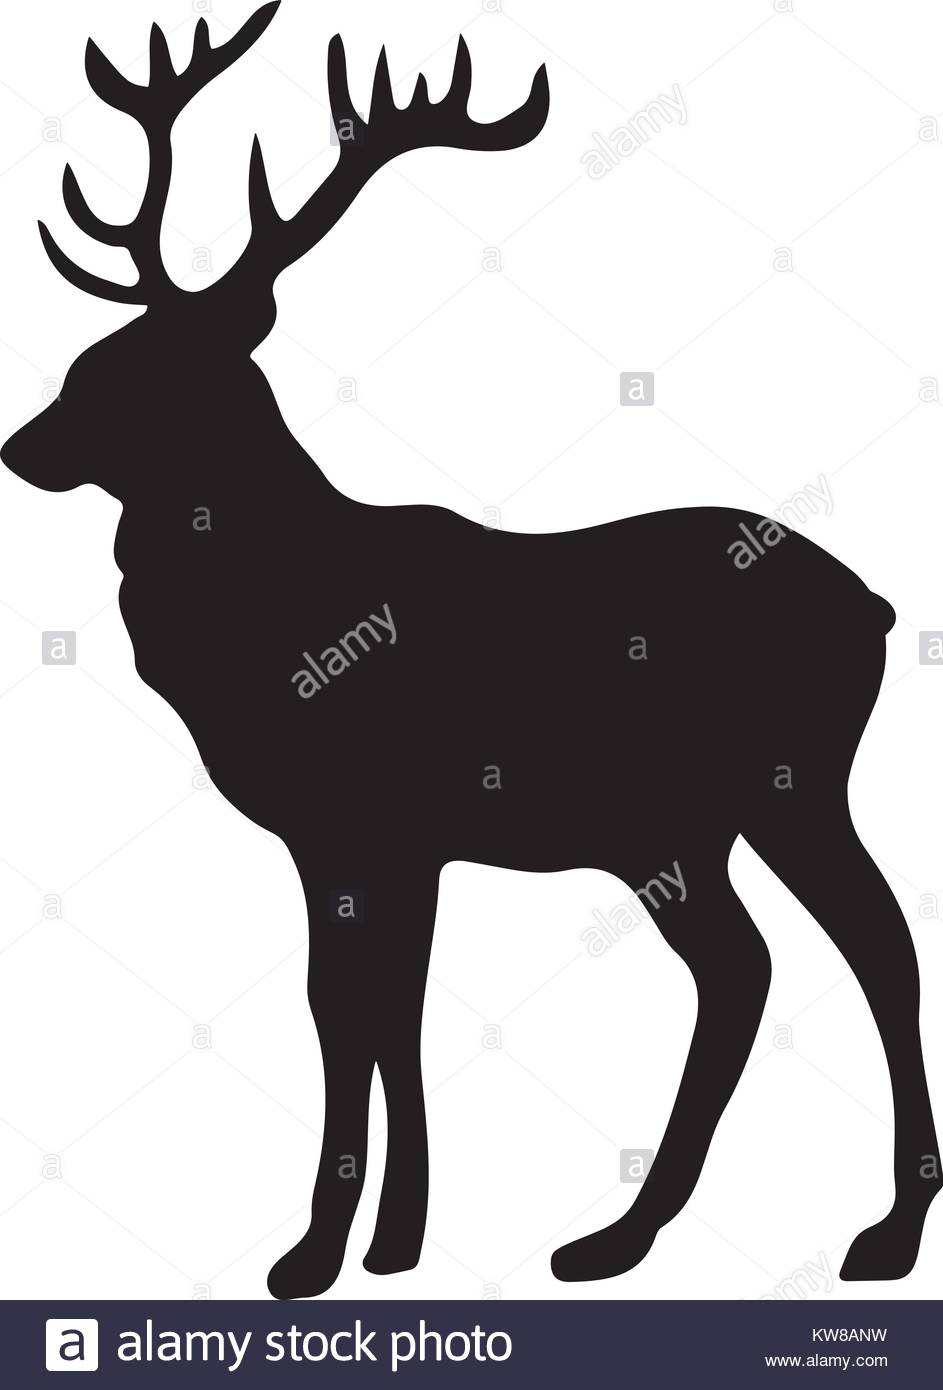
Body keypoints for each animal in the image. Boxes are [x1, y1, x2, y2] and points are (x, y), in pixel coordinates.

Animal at [2, 1, 939, 1300]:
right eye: (94, 356)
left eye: (140, 371)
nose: (19, 445)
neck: (268, 624)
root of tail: (880, 609)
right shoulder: (389, 842)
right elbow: (384, 1008)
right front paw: (396, 1240)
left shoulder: (361, 819)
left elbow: (346, 1009)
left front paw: (313, 1253)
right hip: (686, 826)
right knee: (750, 963)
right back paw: (624, 1235)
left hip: (782, 782)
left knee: (869, 944)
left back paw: (880, 1233)